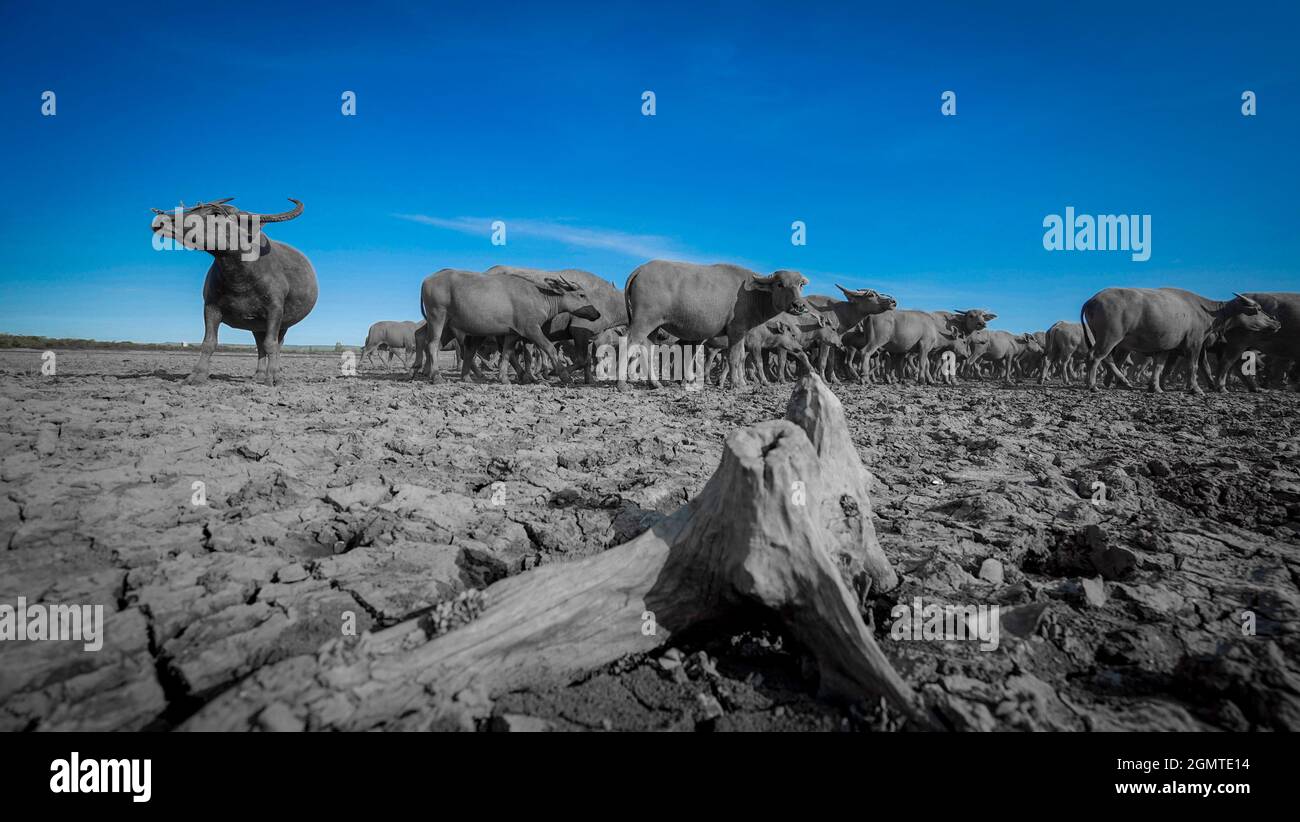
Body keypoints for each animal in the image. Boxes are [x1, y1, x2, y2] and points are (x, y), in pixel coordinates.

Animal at [150, 197, 314, 387]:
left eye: (216, 213)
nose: (162, 219)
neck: (241, 276)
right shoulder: (211, 308)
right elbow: (209, 342)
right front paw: (196, 376)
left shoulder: (275, 309)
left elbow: (271, 344)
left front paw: (273, 377)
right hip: (256, 326)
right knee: (259, 346)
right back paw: (258, 375)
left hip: (282, 324)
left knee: (276, 344)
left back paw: (273, 373)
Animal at [418, 269, 600, 384]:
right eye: (581, 295)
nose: (597, 313)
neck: (538, 297)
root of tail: (428, 279)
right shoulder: (531, 329)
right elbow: (549, 348)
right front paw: (564, 376)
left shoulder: (513, 333)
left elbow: (506, 353)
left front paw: (504, 378)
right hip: (437, 317)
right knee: (432, 344)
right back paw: (436, 376)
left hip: (449, 325)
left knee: (452, 347)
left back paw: (464, 377)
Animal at [616, 262, 806, 392]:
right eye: (780, 284)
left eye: (800, 285)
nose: (799, 305)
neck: (752, 294)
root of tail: (641, 269)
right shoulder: (737, 331)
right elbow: (734, 358)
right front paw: (736, 384)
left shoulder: (741, 335)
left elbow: (738, 358)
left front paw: (738, 382)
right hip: (643, 322)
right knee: (628, 343)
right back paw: (621, 383)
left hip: (654, 326)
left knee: (647, 348)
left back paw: (655, 383)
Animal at [1081, 287, 1274, 392]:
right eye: (1258, 309)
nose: (1276, 322)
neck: (1205, 311)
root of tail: (1092, 300)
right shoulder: (1195, 343)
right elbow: (1194, 366)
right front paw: (1195, 388)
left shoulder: (1165, 347)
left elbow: (1160, 366)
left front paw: (1156, 387)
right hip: (1110, 337)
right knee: (1095, 357)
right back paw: (1093, 385)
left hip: (1106, 338)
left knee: (1108, 359)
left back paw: (1124, 382)